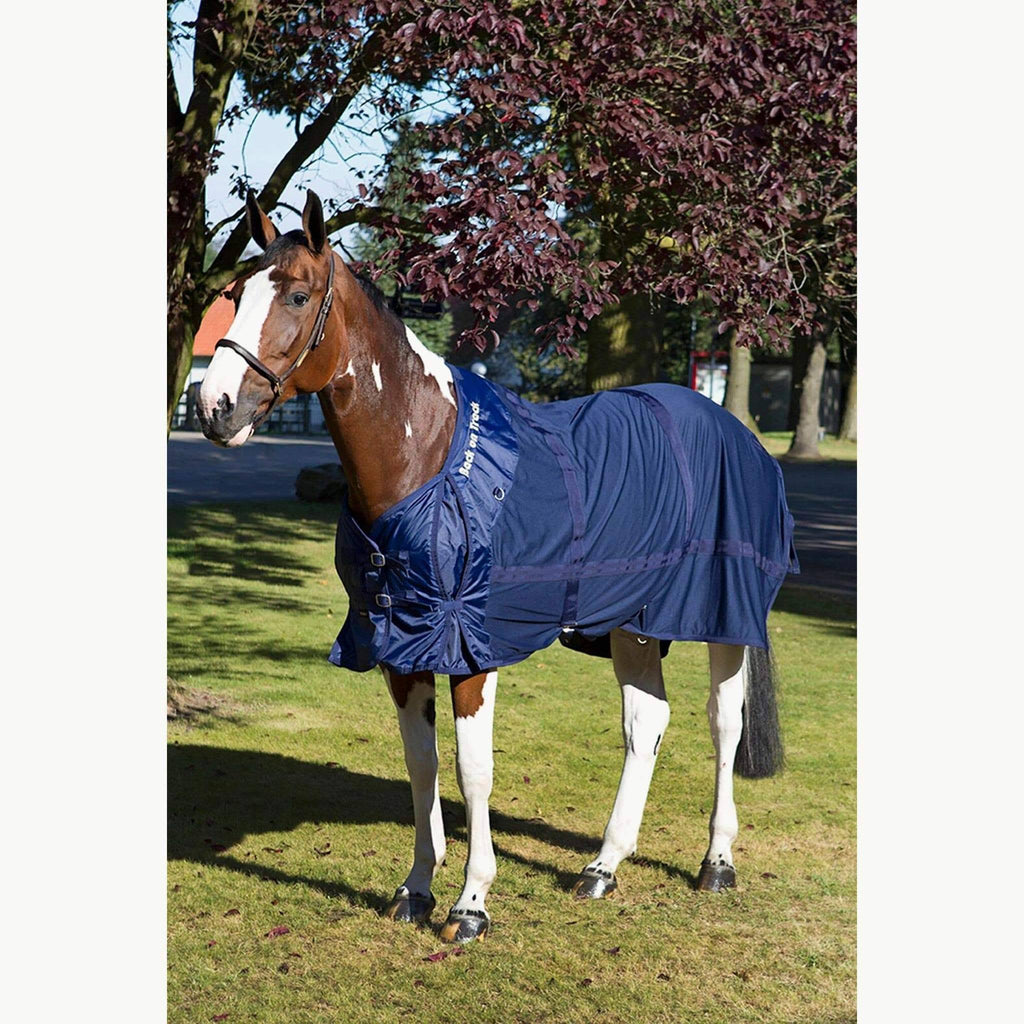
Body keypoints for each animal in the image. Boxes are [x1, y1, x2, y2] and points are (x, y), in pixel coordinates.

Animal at [196, 189, 799, 944]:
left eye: (299, 295)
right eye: (234, 293)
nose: (214, 408)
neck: (425, 453)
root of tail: (738, 433)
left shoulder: (468, 645)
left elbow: (471, 770)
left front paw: (471, 904)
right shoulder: (399, 643)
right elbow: (421, 764)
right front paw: (416, 889)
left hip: (722, 615)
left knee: (724, 723)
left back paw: (716, 862)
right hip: (633, 622)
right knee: (646, 722)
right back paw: (602, 868)